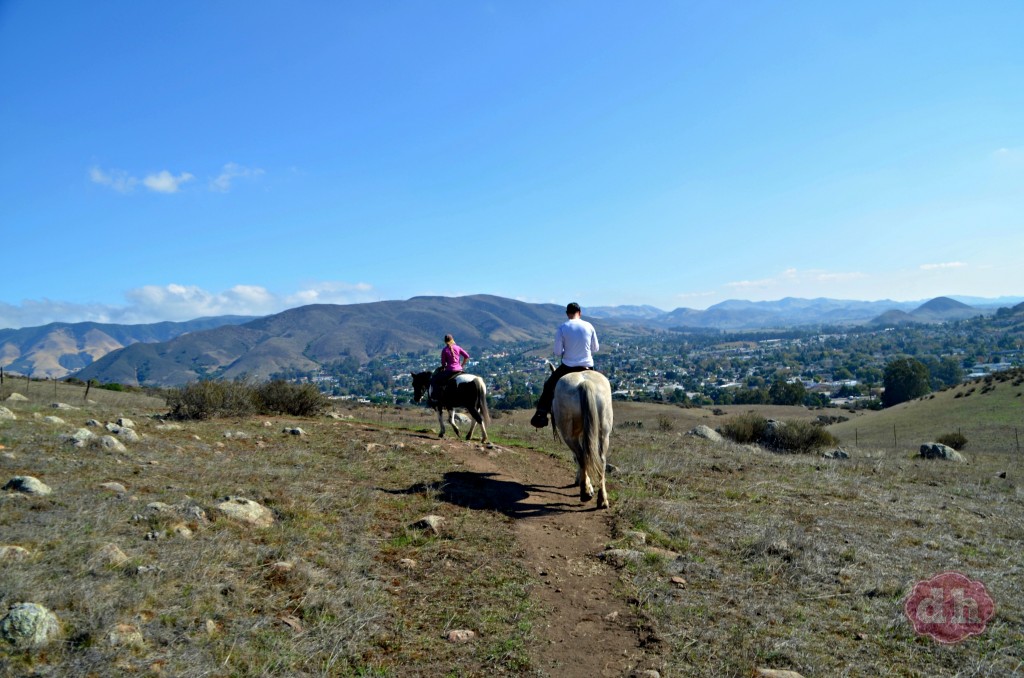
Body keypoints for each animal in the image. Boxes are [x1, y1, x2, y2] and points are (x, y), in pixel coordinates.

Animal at [548, 372, 610, 510]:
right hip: (603, 432)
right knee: (601, 460)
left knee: (581, 456)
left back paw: (585, 492)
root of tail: (584, 383)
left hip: (568, 434)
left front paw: (586, 485)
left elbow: (577, 458)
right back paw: (602, 499)